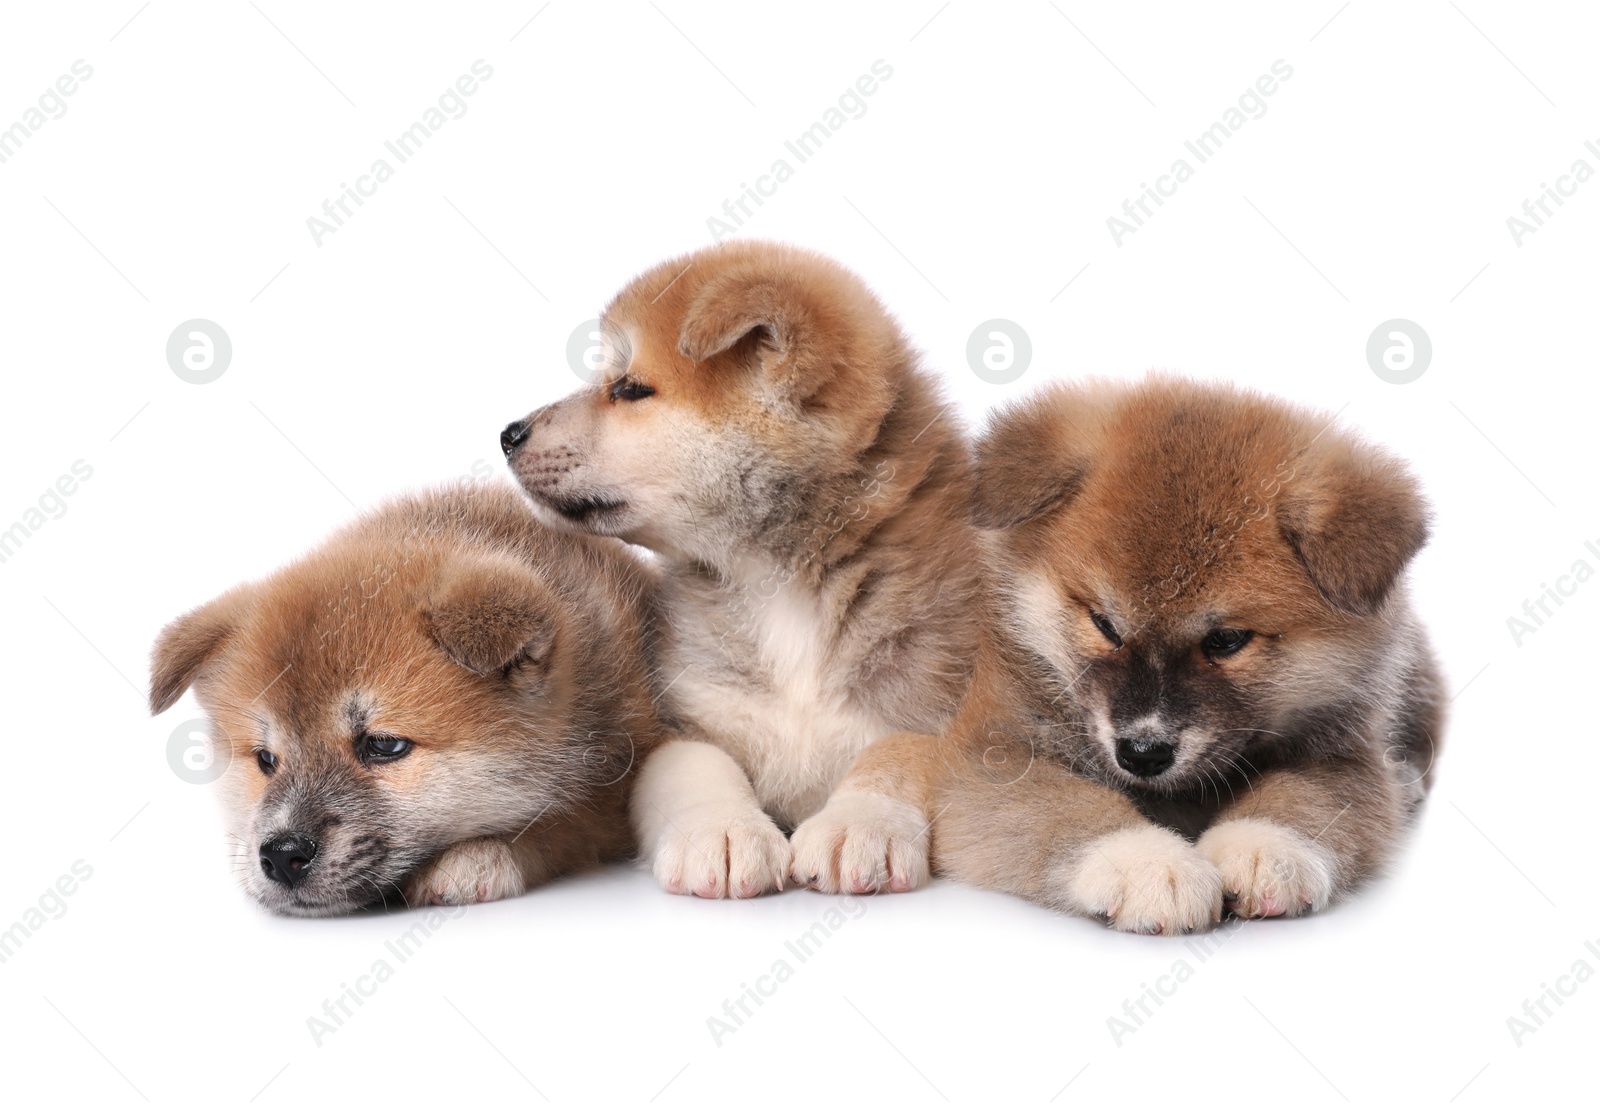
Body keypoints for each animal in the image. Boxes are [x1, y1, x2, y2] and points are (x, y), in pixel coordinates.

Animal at [144, 480, 656, 908]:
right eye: (266, 760)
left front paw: (480, 855)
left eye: (384, 745)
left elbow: (562, 824)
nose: (282, 855)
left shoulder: (612, 792)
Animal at [499, 240, 979, 896]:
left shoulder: (945, 704)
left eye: (629, 389)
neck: (787, 590)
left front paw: (861, 821)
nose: (508, 433)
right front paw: (723, 831)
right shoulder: (674, 722)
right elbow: (698, 765)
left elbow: (898, 754)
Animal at [844, 376, 1446, 928]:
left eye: (1226, 641)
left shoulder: (1345, 759)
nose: (1143, 753)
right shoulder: (990, 759)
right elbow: (1073, 810)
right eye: (1106, 625)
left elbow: (1301, 798)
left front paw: (1264, 847)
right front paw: (1151, 866)